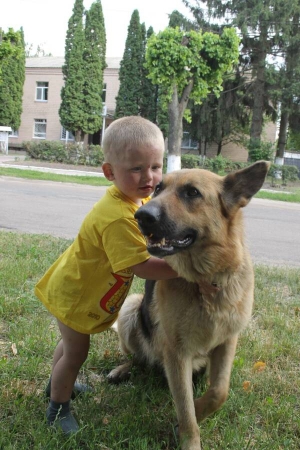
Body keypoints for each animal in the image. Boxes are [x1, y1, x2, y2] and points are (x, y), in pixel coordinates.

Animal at [108, 160, 270, 448]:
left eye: (192, 192)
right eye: (158, 188)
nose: (141, 215)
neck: (208, 282)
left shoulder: (228, 342)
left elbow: (219, 391)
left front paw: (201, 405)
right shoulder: (176, 353)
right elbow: (185, 410)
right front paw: (190, 437)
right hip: (130, 308)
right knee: (139, 358)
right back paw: (123, 369)